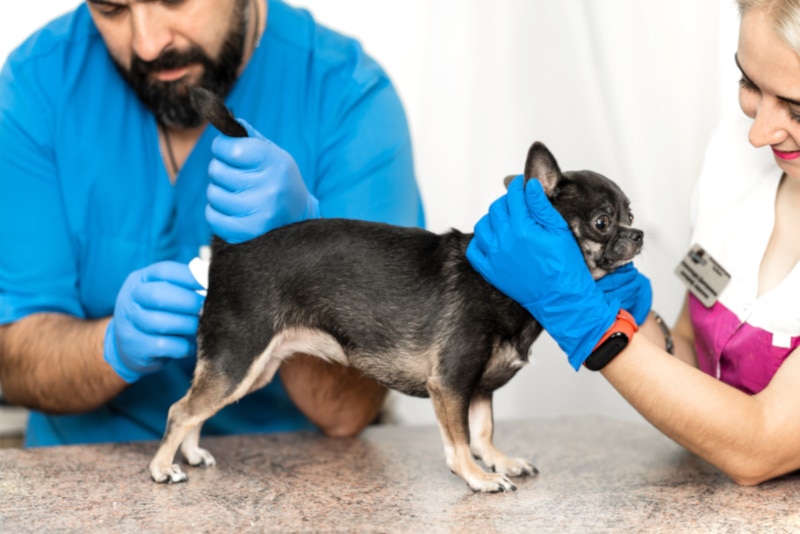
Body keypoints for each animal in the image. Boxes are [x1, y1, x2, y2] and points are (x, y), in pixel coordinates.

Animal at [148, 88, 644, 494]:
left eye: (631, 214)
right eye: (602, 222)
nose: (638, 235)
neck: (504, 284)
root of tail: (229, 247)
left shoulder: (479, 388)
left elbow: (484, 430)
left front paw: (499, 461)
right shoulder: (451, 384)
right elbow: (461, 440)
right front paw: (477, 476)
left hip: (251, 369)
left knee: (196, 409)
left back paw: (191, 453)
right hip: (238, 360)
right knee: (179, 409)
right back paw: (161, 467)